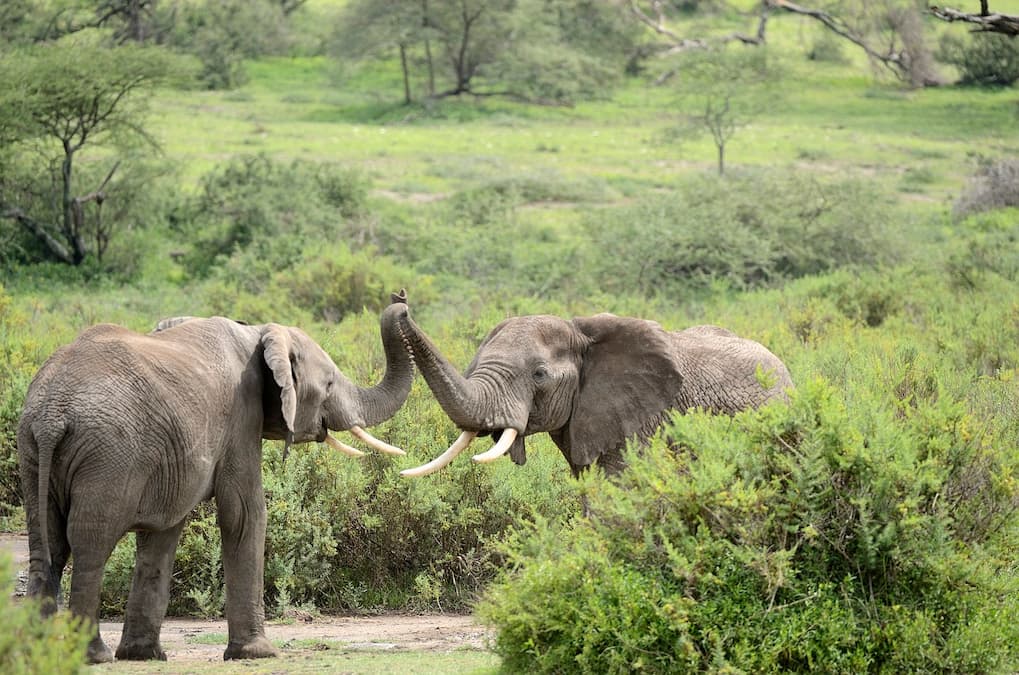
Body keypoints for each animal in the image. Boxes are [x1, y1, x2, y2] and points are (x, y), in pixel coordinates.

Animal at [16, 293, 413, 664]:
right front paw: (257, 653)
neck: (258, 333)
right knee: (89, 545)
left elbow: (162, 534)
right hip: (108, 454)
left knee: (46, 544)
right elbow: (245, 514)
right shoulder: (241, 415)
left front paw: (144, 655)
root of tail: (52, 414)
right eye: (329, 383)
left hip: (33, 452)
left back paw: (37, 652)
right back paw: (93, 655)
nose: (402, 300)